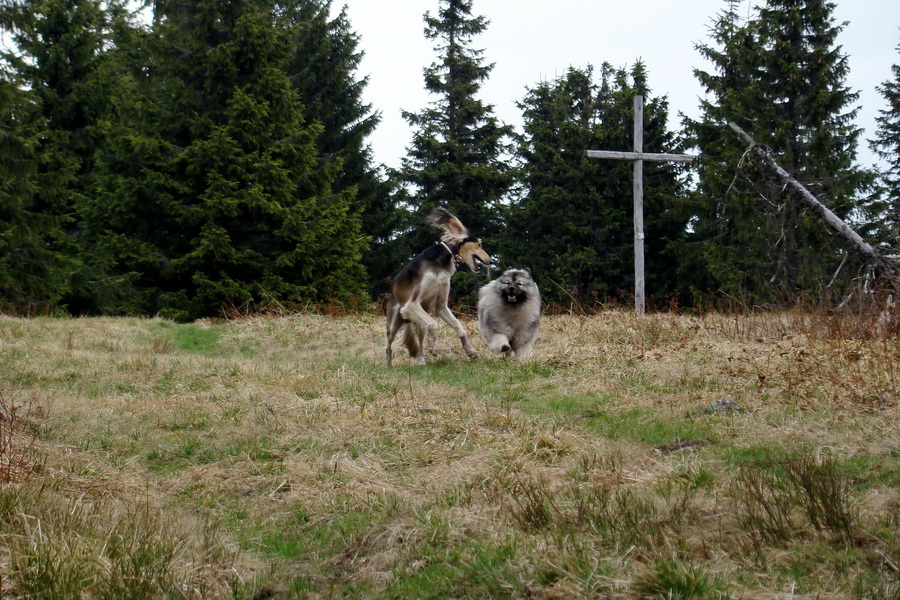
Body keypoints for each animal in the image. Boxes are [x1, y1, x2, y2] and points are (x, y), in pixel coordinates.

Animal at [384, 211, 488, 366]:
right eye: (479, 244)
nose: (490, 261)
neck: (440, 262)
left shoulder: (441, 306)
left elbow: (459, 326)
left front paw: (470, 350)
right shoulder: (411, 305)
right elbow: (434, 324)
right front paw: (433, 345)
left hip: (419, 319)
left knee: (420, 339)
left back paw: (421, 360)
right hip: (395, 322)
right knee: (388, 346)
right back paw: (389, 366)